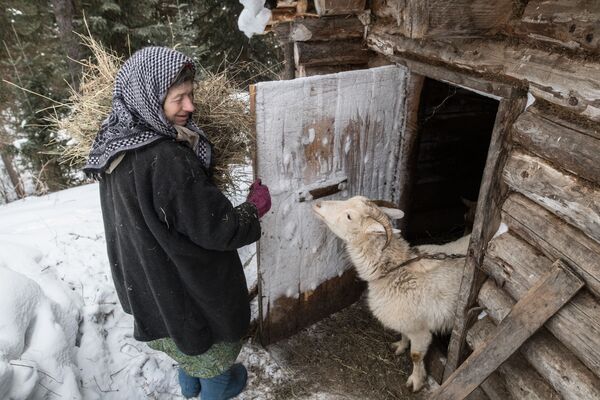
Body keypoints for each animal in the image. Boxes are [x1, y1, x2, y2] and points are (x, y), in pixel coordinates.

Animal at [314, 196, 468, 390]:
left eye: (349, 216)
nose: (317, 204)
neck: (395, 270)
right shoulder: (405, 321)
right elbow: (403, 334)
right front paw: (400, 346)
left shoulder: (420, 330)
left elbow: (416, 356)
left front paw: (416, 382)